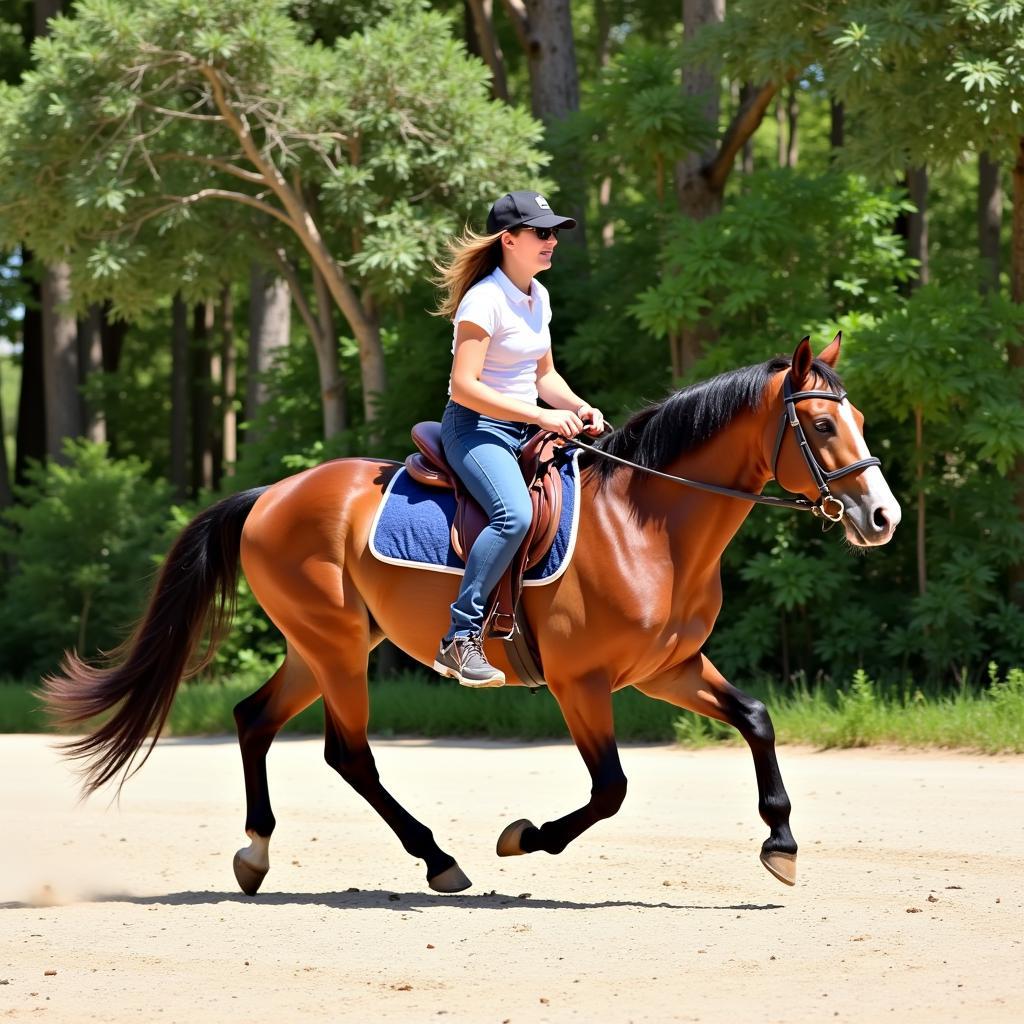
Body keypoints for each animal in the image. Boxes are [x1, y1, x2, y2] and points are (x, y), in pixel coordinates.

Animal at [44, 333, 901, 897]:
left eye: (857, 419)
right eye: (823, 425)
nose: (883, 516)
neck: (647, 526)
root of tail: (270, 495)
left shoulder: (668, 670)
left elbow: (755, 718)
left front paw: (781, 842)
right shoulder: (582, 683)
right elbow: (612, 789)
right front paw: (524, 838)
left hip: (320, 645)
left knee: (255, 718)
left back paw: (257, 855)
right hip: (335, 645)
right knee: (349, 754)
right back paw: (436, 859)